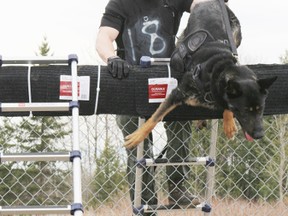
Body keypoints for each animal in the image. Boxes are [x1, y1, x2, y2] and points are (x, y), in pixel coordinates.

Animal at [124, 0, 276, 148]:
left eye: (261, 109)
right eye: (245, 110)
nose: (260, 135)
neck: (217, 71)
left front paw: (229, 123)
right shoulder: (177, 93)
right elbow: (154, 118)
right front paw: (137, 137)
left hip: (235, 34)